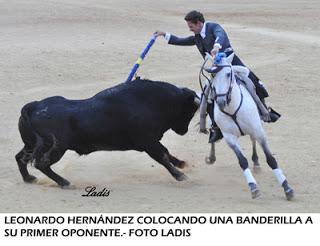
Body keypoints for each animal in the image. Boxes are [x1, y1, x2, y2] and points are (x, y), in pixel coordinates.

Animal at [16, 80, 200, 187]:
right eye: (191, 111)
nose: (183, 131)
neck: (152, 101)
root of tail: (33, 106)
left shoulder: (151, 141)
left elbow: (166, 153)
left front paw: (182, 163)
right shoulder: (148, 142)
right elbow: (162, 156)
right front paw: (181, 176)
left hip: (31, 144)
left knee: (20, 158)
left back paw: (29, 179)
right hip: (56, 147)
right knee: (42, 164)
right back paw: (64, 182)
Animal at [201, 53, 294, 200]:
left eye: (228, 74)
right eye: (212, 75)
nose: (220, 101)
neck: (232, 108)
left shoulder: (258, 131)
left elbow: (271, 159)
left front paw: (287, 188)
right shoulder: (230, 138)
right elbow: (242, 161)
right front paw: (253, 187)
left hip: (256, 126)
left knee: (252, 139)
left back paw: (256, 162)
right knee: (213, 136)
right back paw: (211, 157)